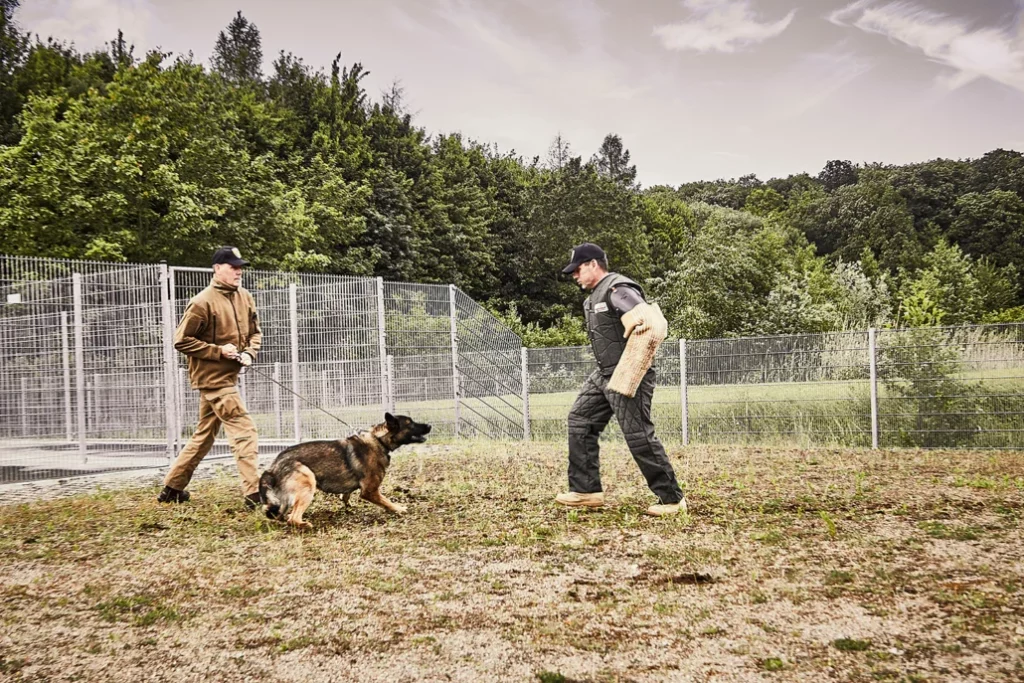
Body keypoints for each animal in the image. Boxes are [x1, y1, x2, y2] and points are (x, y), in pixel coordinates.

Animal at [260, 411, 432, 528]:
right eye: (411, 424)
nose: (430, 425)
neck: (379, 440)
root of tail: (272, 467)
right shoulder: (370, 491)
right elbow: (387, 501)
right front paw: (399, 509)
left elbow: (346, 495)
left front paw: (348, 507)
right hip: (308, 481)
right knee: (293, 518)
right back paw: (304, 525)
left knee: (280, 514)